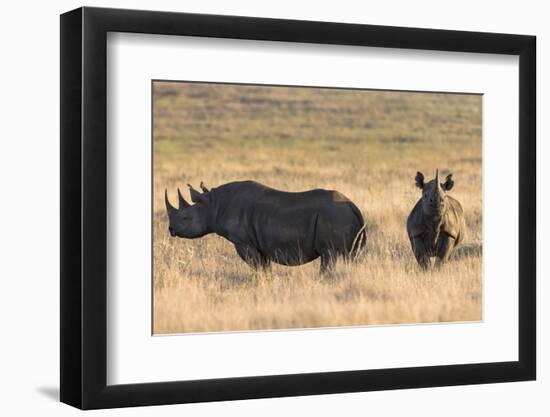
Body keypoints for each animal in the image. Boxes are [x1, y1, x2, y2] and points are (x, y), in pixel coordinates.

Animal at [166, 180, 368, 272]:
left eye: (185, 217)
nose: (171, 230)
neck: (213, 205)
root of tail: (352, 205)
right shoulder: (259, 245)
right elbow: (265, 267)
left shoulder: (244, 243)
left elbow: (257, 267)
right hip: (341, 217)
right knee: (349, 257)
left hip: (333, 216)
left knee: (329, 256)